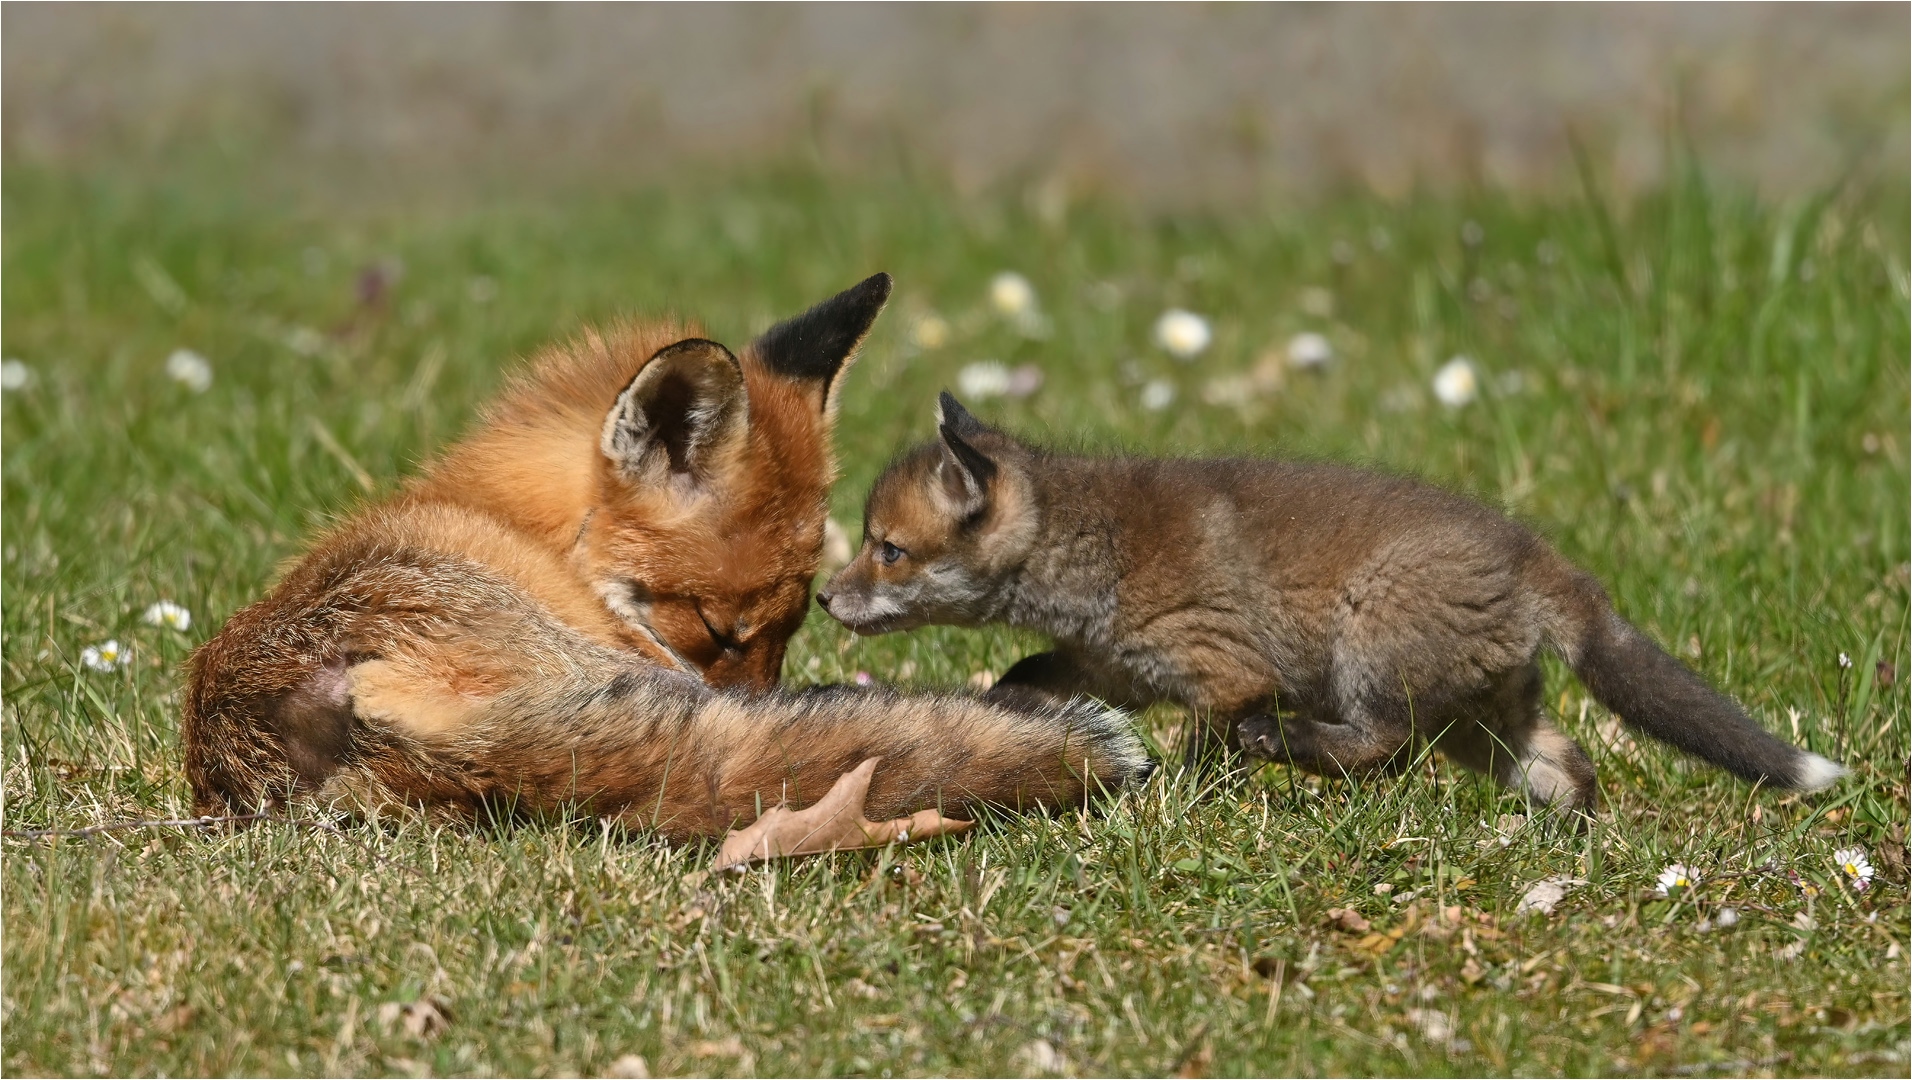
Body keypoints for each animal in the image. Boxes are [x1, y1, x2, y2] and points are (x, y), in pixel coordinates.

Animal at [814, 391, 1843, 814]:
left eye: (888, 549)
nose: (824, 597)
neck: (1091, 547)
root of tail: (1537, 558)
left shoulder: (1225, 674)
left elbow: (1204, 752)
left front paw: (1175, 804)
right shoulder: (1119, 666)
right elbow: (1028, 674)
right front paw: (1008, 726)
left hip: (1371, 660)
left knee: (1383, 750)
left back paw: (1291, 746)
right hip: (1482, 722)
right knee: (1566, 765)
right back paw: (1560, 840)